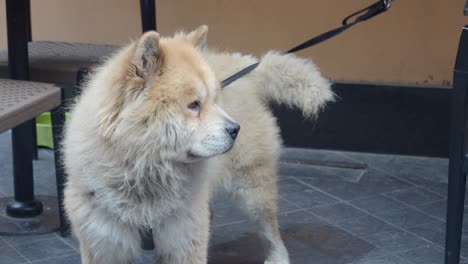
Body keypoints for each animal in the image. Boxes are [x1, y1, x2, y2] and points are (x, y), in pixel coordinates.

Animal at [63, 25, 332, 264]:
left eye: (214, 101)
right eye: (194, 105)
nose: (236, 130)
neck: (144, 174)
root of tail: (245, 68)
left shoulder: (183, 240)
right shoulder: (103, 242)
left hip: (253, 190)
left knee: (271, 230)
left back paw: (277, 258)